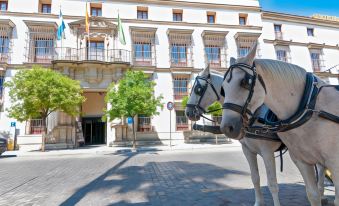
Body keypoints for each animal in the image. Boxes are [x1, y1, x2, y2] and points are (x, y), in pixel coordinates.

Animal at [219, 43, 336, 204]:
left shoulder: (267, 151)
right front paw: (258, 202)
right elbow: (255, 178)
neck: (310, 106)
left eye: (245, 82)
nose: (227, 128)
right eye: (223, 89)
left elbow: (272, 184)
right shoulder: (249, 151)